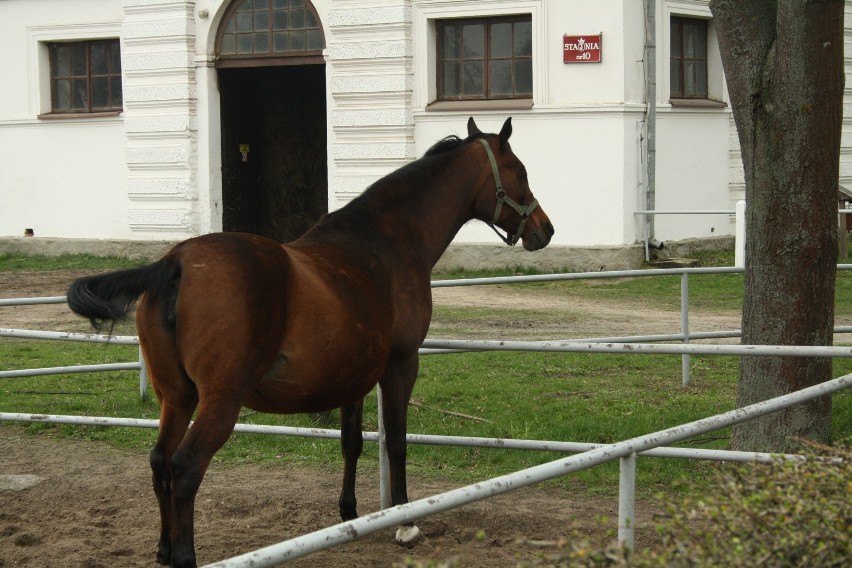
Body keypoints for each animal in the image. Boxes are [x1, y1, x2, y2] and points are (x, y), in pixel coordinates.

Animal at [70, 116, 556, 568]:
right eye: (520, 171)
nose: (545, 230)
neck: (384, 244)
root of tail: (177, 263)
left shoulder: (354, 375)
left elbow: (352, 442)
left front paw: (350, 515)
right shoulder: (401, 364)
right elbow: (396, 441)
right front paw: (404, 523)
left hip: (177, 396)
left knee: (159, 461)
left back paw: (165, 549)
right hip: (219, 399)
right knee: (185, 467)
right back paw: (186, 556)